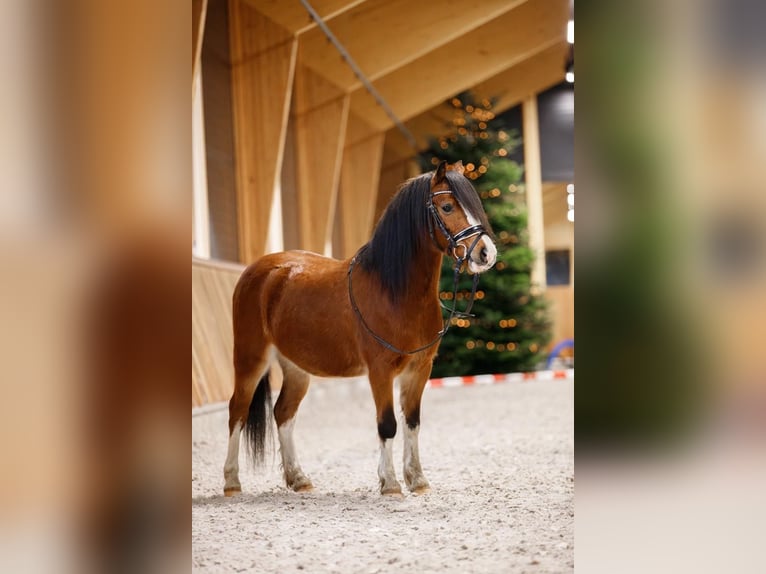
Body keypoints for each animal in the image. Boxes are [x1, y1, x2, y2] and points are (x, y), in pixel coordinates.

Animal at [224, 160, 498, 498]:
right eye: (447, 206)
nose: (486, 253)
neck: (394, 292)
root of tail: (257, 271)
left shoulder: (420, 369)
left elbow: (413, 422)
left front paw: (417, 480)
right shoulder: (380, 371)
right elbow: (387, 424)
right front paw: (390, 483)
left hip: (296, 367)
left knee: (283, 413)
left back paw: (299, 479)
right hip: (250, 358)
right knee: (238, 410)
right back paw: (232, 482)